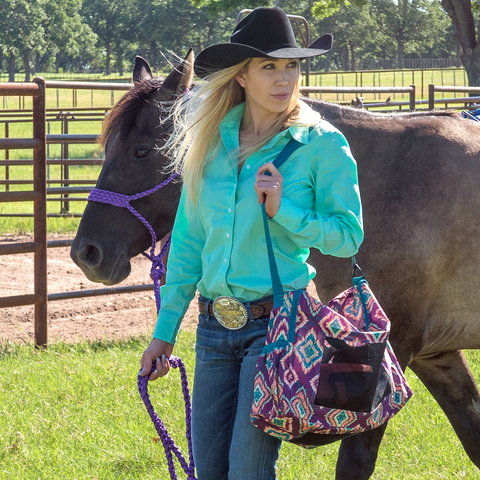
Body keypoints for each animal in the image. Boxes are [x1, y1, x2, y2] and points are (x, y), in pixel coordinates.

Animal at [70, 50, 480, 478]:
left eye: (142, 151)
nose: (87, 252)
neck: (386, 180)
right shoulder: (437, 355)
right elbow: (475, 439)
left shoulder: (391, 349)